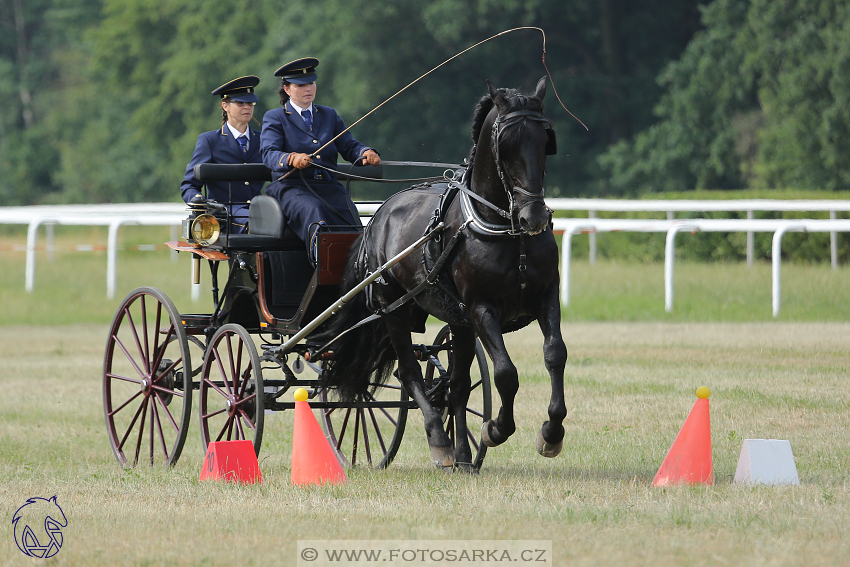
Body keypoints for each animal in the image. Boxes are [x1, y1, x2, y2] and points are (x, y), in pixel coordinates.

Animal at [322, 80, 568, 470]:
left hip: (458, 321)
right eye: (506, 145)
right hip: (394, 309)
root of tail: (378, 217)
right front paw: (495, 429)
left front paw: (551, 433)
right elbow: (505, 373)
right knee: (409, 372)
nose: (534, 217)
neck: (505, 228)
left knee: (458, 385)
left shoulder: (546, 295)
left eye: (546, 140)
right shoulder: (483, 308)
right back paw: (439, 440)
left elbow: (555, 354)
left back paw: (463, 457)